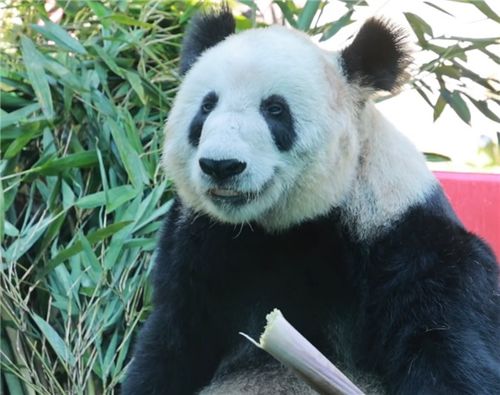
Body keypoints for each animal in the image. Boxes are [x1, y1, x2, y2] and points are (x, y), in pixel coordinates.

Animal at [122, 6, 500, 395]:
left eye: (275, 110)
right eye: (207, 106)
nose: (221, 165)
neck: (282, 226)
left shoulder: (404, 236)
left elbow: (443, 345)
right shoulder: (199, 244)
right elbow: (170, 345)